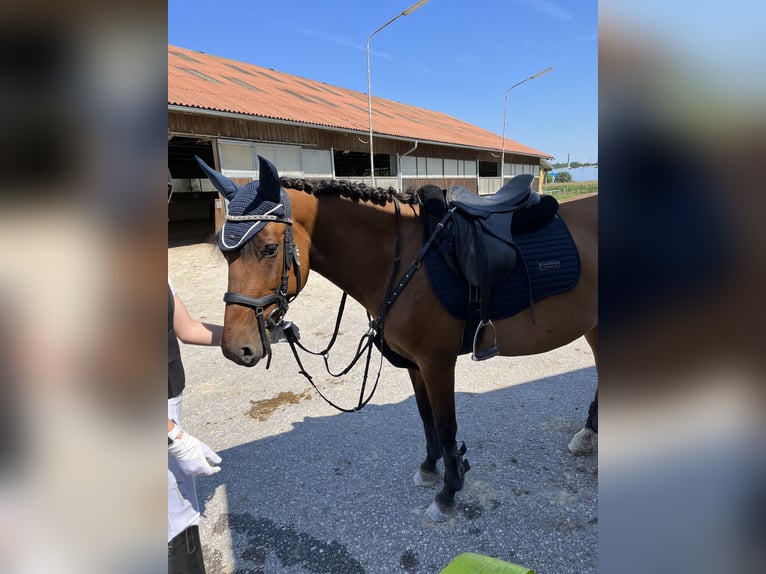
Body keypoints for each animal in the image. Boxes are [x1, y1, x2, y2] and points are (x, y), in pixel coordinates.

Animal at [198, 155, 600, 524]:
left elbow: (446, 426)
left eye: (269, 248)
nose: (235, 347)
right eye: (225, 253)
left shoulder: (437, 363)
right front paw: (430, 467)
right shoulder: (415, 364)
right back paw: (587, 434)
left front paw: (449, 492)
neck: (403, 257)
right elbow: (425, 417)